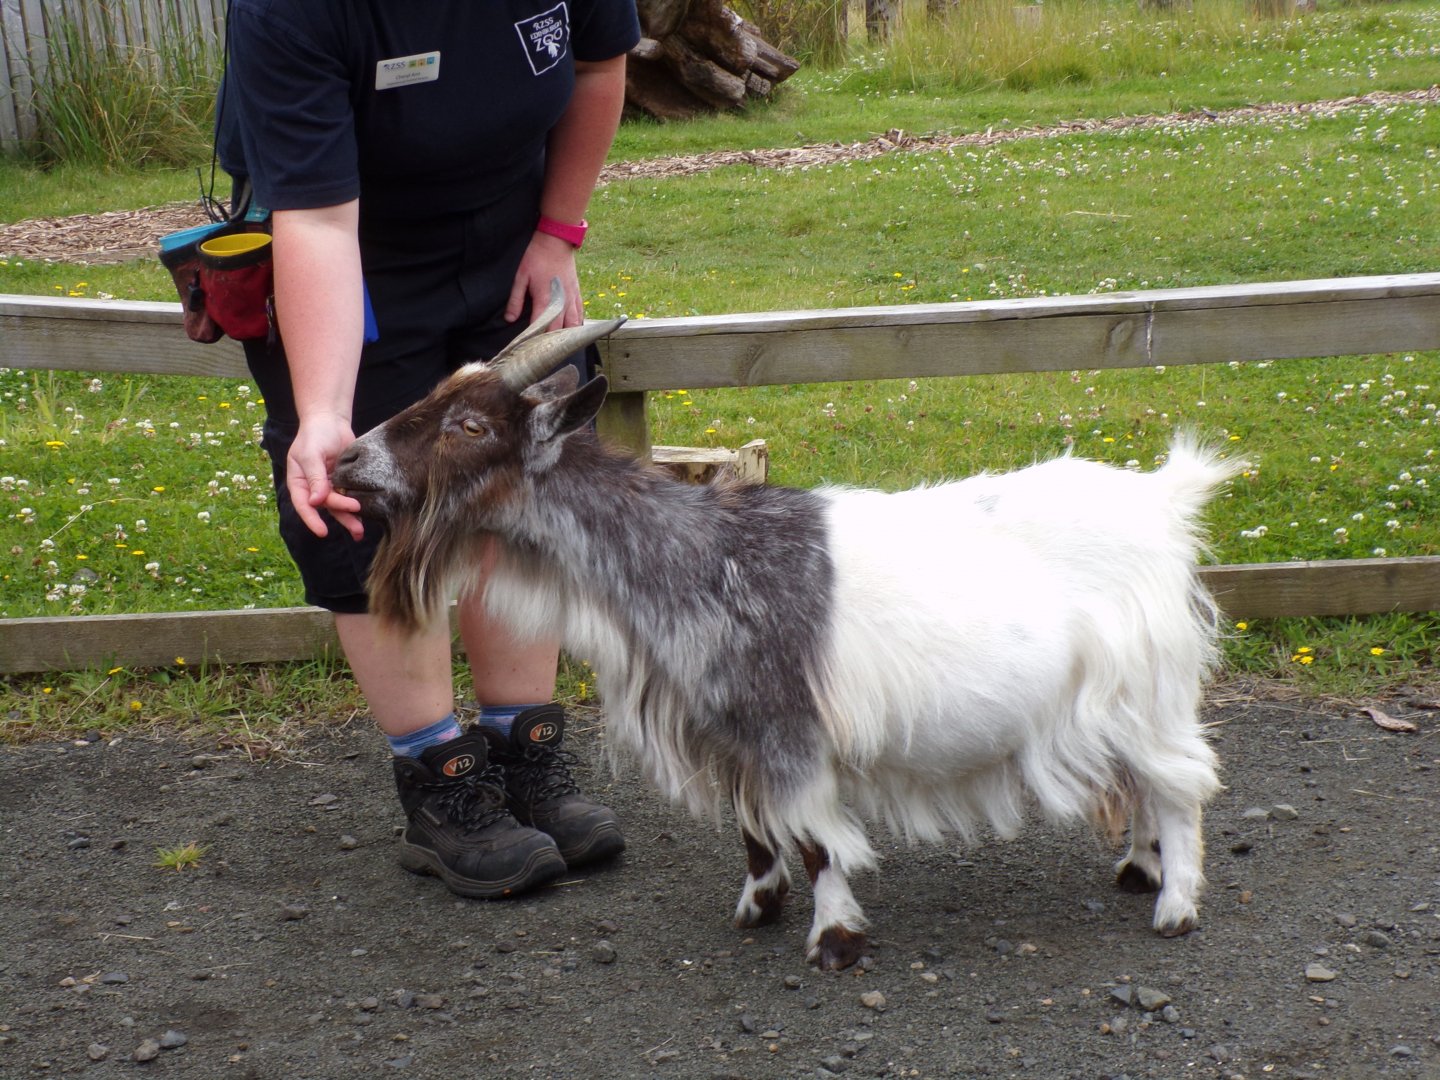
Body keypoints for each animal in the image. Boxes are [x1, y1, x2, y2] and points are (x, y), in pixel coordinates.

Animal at [331, 285, 1236, 969]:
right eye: (432, 396)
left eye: (471, 427)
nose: (344, 458)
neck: (693, 554)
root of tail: (1162, 501)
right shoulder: (732, 729)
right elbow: (755, 831)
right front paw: (756, 908)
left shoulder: (788, 726)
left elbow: (814, 838)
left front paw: (833, 939)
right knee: (1147, 786)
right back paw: (1138, 868)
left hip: (1146, 686)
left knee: (1179, 785)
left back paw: (1177, 905)